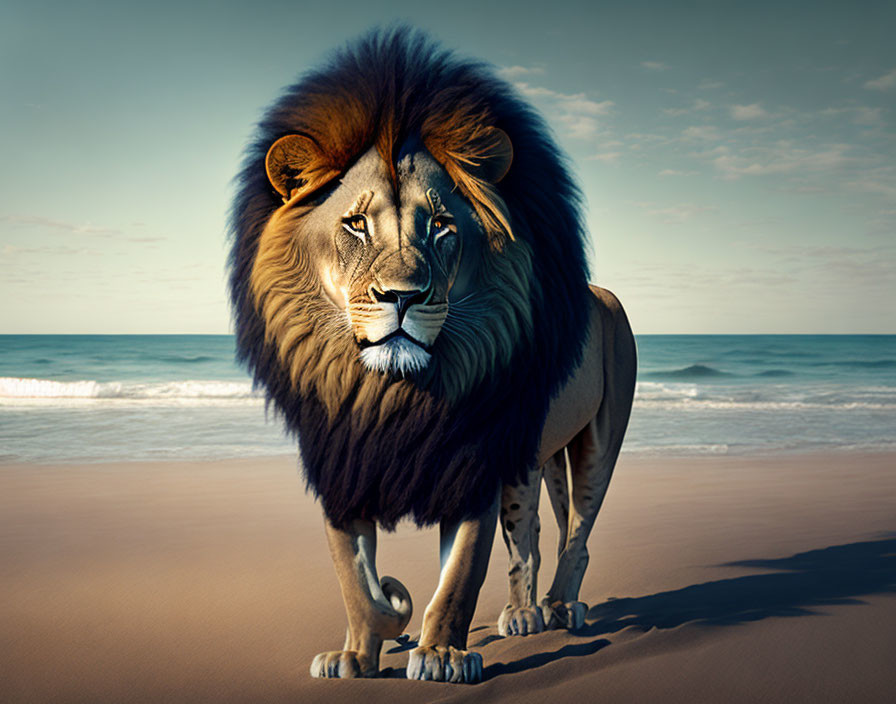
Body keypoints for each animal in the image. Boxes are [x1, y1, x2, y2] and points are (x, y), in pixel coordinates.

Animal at [231, 27, 636, 680]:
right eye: (355, 224)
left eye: (441, 225)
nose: (403, 296)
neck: (390, 392)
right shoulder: (339, 458)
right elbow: (354, 577)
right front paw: (360, 648)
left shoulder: (473, 459)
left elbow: (459, 575)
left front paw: (441, 653)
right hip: (532, 458)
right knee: (532, 534)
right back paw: (525, 614)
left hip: (598, 440)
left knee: (579, 531)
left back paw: (560, 607)